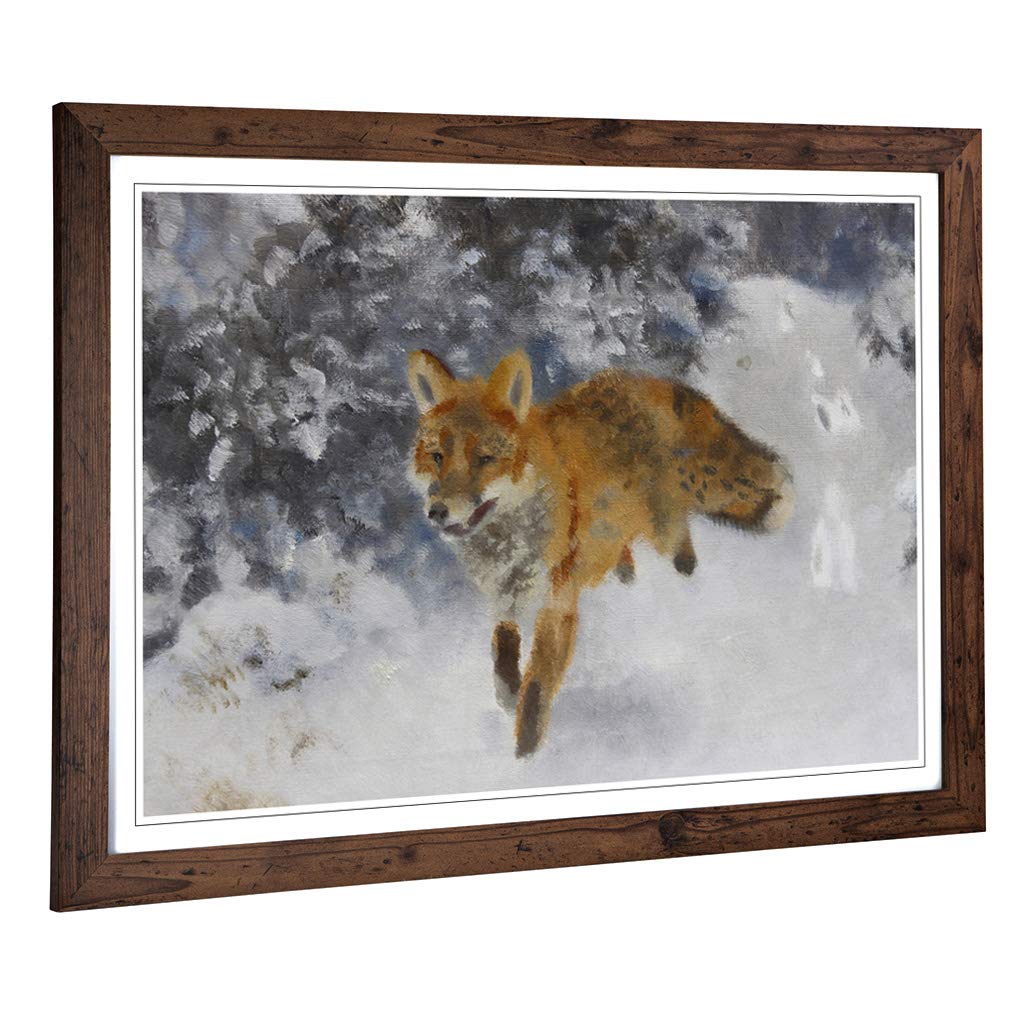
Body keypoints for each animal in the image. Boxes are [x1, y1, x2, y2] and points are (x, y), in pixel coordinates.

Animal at [407, 348, 793, 757]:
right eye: (437, 457)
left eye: (484, 459)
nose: (437, 511)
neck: (510, 542)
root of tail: (651, 380)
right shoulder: (504, 594)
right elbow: (503, 650)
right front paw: (508, 694)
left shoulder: (557, 602)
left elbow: (538, 685)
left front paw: (526, 753)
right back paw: (627, 574)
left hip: (663, 524)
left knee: (684, 551)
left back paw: (682, 584)